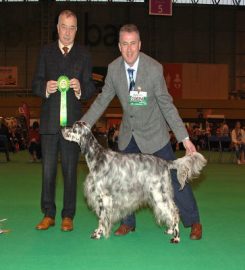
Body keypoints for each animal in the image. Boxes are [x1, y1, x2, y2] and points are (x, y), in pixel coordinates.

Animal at [61, 121, 207, 244]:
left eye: (73, 128)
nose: (62, 128)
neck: (97, 157)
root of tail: (165, 162)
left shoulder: (104, 197)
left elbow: (102, 218)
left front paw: (98, 234)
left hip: (159, 195)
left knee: (174, 213)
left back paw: (176, 237)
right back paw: (171, 230)